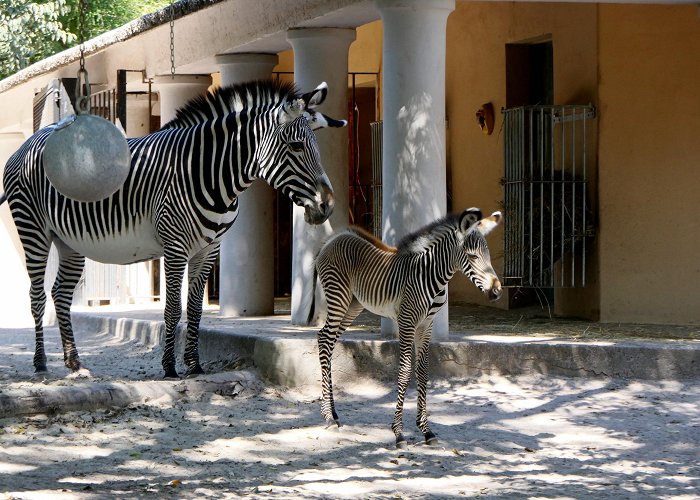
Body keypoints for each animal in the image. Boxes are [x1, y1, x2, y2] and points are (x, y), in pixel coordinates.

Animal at [2, 79, 344, 378]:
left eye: (316, 145)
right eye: (296, 146)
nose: (327, 206)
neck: (207, 172)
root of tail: (28, 142)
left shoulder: (209, 249)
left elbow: (194, 309)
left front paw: (194, 365)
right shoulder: (175, 246)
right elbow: (172, 308)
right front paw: (169, 367)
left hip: (69, 241)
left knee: (60, 294)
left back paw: (74, 364)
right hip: (33, 230)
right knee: (37, 295)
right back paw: (40, 364)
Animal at [314, 207, 504, 450]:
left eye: (488, 256)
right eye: (472, 257)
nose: (496, 292)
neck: (432, 276)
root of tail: (335, 237)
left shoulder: (426, 324)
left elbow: (422, 372)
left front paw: (426, 430)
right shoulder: (407, 321)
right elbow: (405, 372)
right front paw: (398, 433)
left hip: (353, 305)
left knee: (326, 341)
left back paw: (333, 414)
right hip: (338, 297)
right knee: (325, 339)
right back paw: (329, 417)